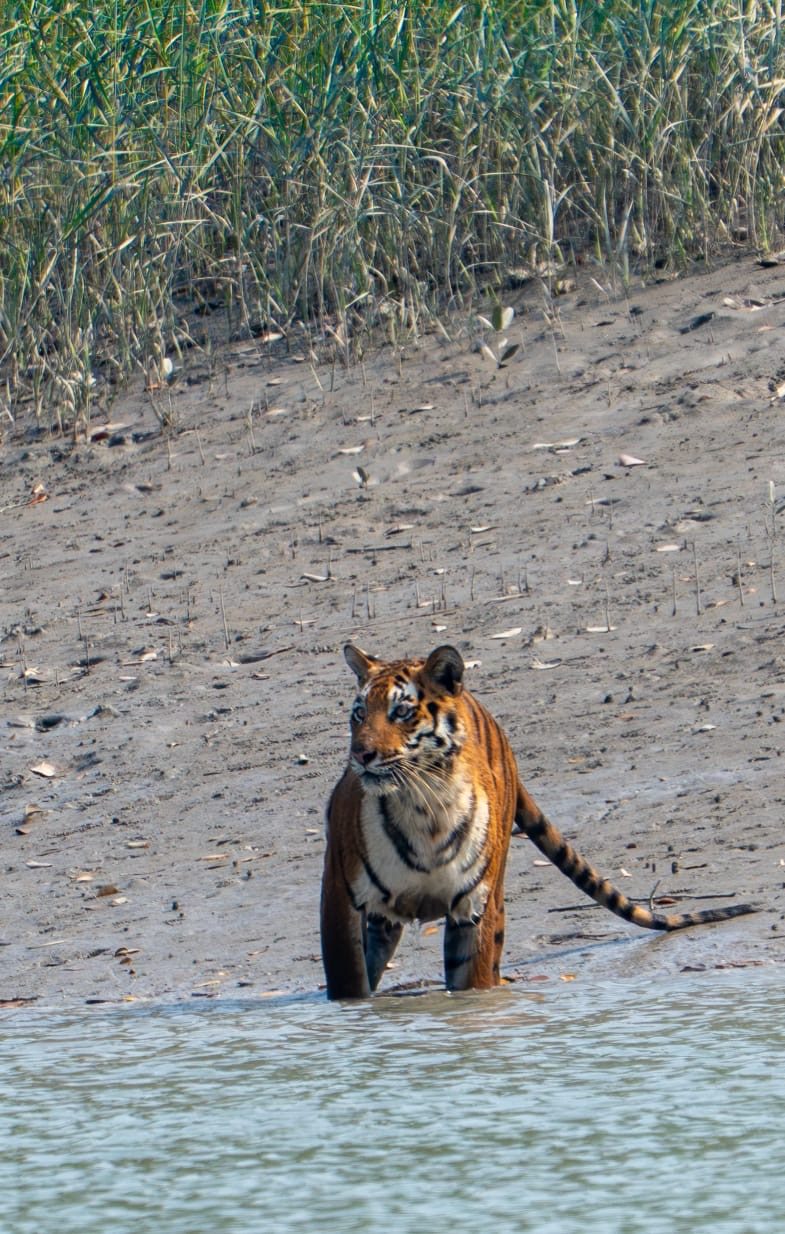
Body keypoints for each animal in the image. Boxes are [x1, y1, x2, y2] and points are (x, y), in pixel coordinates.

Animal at [320, 643, 758, 999]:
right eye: (359, 714)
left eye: (401, 712)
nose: (361, 754)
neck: (423, 807)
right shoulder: (342, 896)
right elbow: (350, 985)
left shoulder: (475, 906)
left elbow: (472, 984)